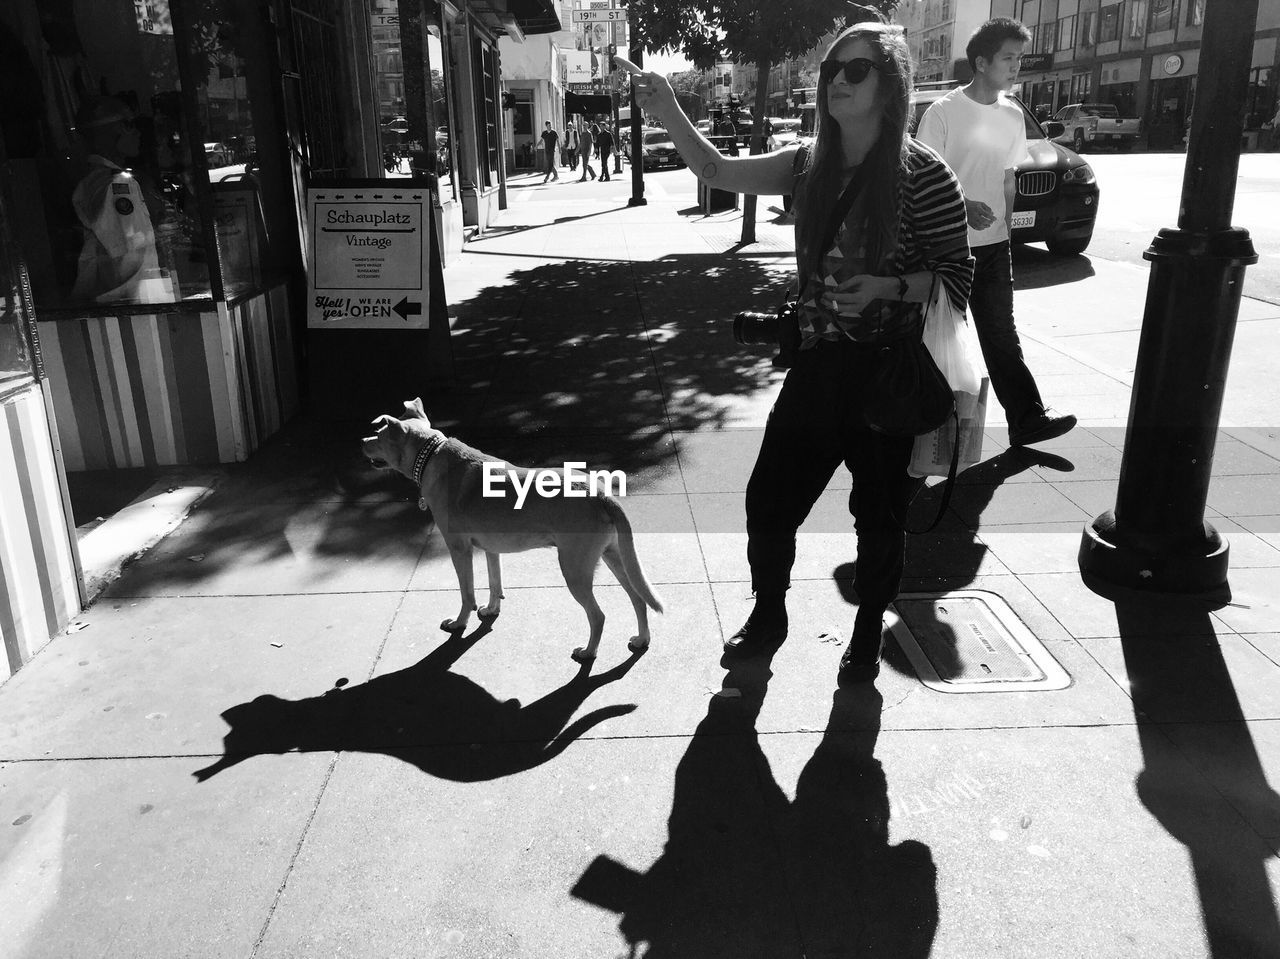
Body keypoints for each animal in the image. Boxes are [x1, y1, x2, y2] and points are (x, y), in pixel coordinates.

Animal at [360, 399, 660, 660]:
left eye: (378, 435)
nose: (361, 443)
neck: (431, 454)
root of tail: (601, 494)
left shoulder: (459, 550)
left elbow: (466, 594)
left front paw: (459, 623)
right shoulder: (490, 549)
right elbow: (495, 582)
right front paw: (492, 609)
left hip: (575, 569)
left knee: (598, 616)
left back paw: (588, 652)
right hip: (613, 556)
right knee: (638, 599)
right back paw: (642, 639)